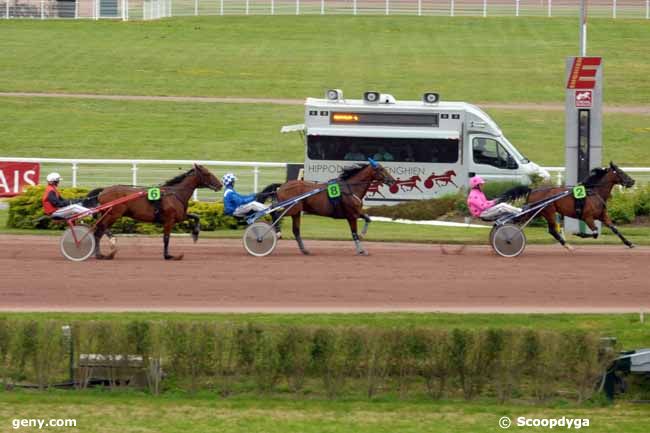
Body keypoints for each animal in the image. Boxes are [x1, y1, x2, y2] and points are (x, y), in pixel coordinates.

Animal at [85, 165, 221, 260]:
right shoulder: (169, 220)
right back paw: (100, 254)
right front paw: (168, 256)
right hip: (112, 215)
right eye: (208, 173)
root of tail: (103, 191)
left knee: (98, 230)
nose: (220, 185)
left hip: (107, 214)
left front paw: (195, 234)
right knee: (98, 231)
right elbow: (166, 238)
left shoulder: (179, 216)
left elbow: (196, 216)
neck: (174, 194)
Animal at [260, 160, 392, 255]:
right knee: (275, 213)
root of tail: (282, 186)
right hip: (291, 208)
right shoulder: (351, 215)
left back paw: (304, 250)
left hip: (296, 212)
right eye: (381, 169)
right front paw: (361, 250)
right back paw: (276, 233)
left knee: (296, 230)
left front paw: (362, 234)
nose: (392, 180)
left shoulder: (356, 212)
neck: (351, 189)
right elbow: (354, 233)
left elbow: (368, 218)